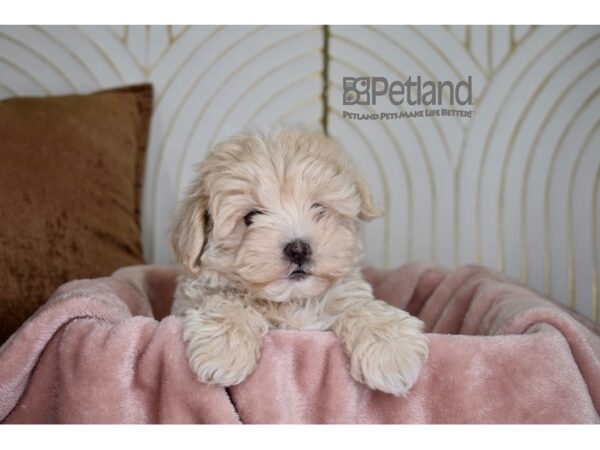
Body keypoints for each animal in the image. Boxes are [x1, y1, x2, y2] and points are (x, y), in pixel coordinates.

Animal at [171, 126, 428, 394]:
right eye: (251, 217)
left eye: (319, 207)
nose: (298, 249)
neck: (291, 301)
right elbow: (226, 299)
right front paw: (224, 347)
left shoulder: (343, 295)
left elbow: (361, 307)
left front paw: (391, 348)